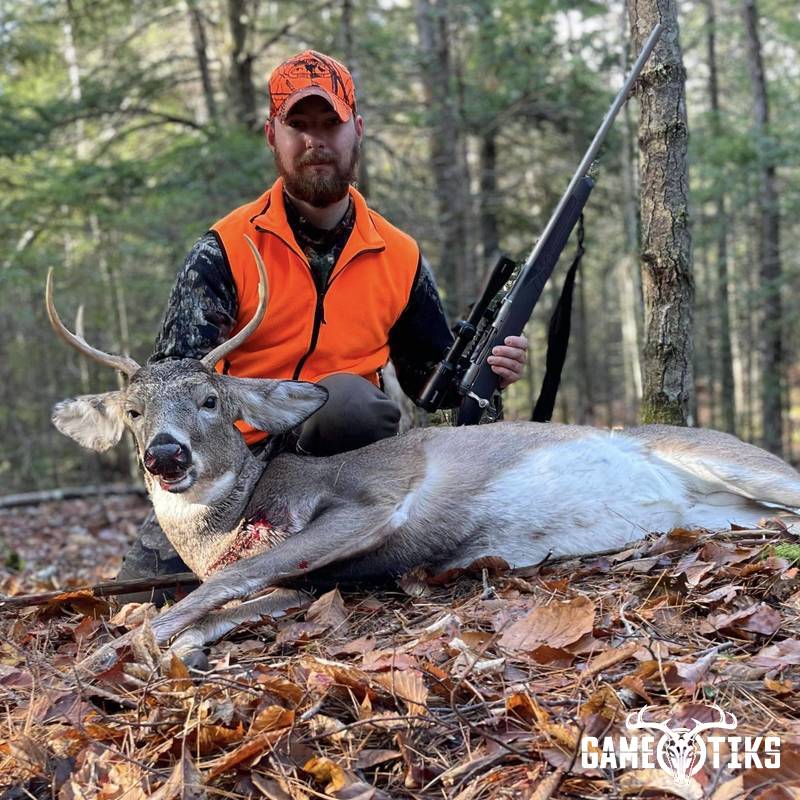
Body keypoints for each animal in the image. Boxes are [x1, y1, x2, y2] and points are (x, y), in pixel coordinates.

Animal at [47, 237, 800, 672]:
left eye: (211, 399)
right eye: (133, 412)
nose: (166, 456)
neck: (238, 511)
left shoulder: (370, 503)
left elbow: (225, 581)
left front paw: (113, 648)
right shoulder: (315, 580)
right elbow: (230, 597)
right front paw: (174, 646)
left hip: (730, 460)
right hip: (722, 511)